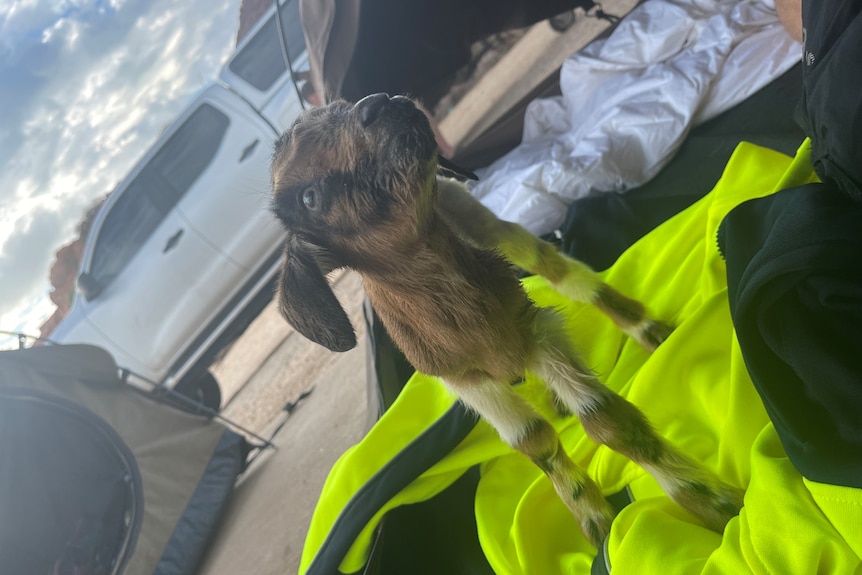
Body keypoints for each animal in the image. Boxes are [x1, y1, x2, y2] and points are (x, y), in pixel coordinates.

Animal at [270, 94, 744, 548]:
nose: (377, 104)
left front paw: (715, 505)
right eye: (309, 198)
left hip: (487, 225)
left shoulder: (534, 332)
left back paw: (646, 330)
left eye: (341, 108)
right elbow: (533, 441)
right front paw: (594, 519)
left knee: (561, 272)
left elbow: (606, 421)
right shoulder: (463, 379)